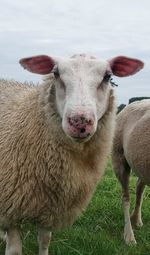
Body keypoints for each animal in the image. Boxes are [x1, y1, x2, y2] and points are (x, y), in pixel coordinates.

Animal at [0, 54, 144, 255]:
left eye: (107, 76)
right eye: (56, 73)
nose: (79, 121)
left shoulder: (51, 208)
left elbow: (44, 241)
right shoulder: (11, 209)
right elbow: (14, 250)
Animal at [112, 98, 149, 244]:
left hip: (140, 163)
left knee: (139, 186)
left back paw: (137, 219)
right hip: (119, 158)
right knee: (125, 197)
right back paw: (129, 236)